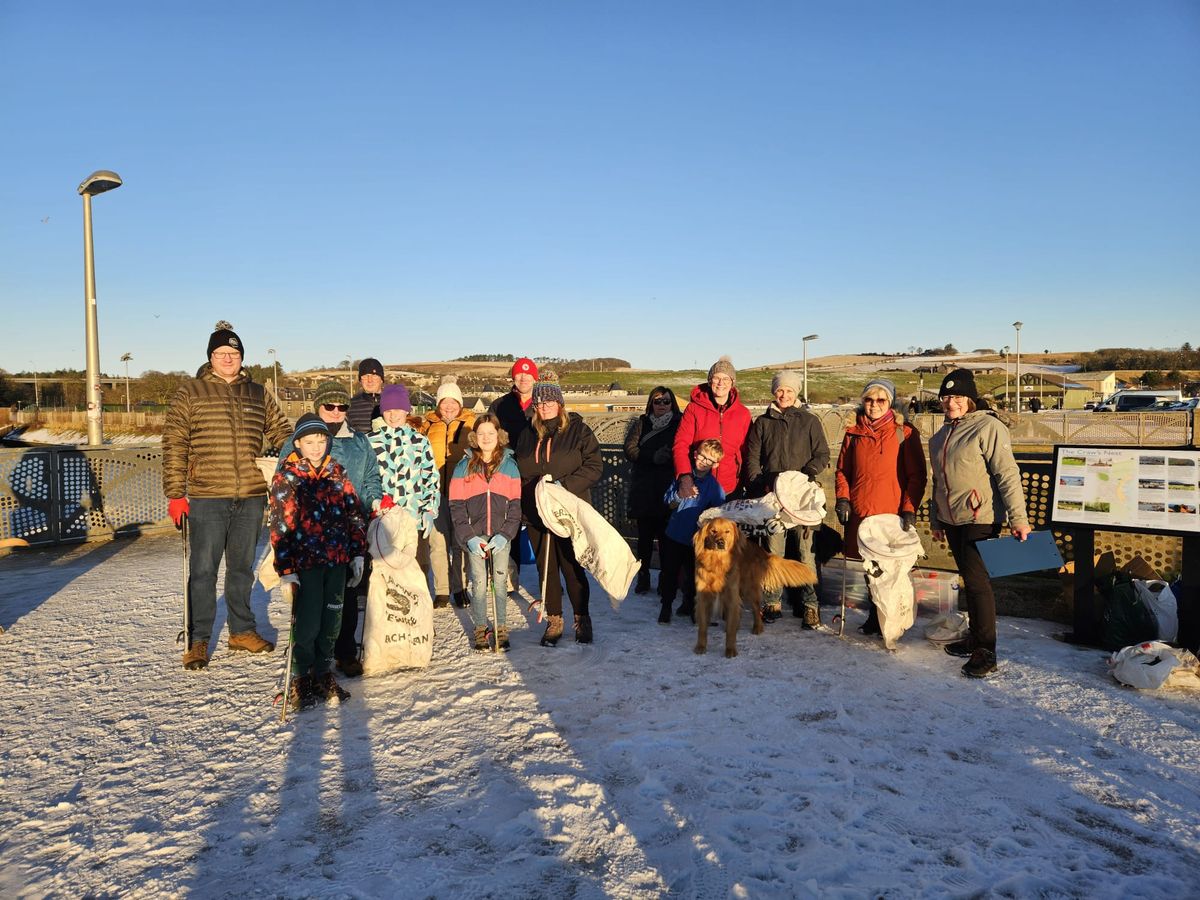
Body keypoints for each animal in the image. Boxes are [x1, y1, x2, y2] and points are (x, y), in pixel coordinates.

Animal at [691, 518, 820, 657]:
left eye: (727, 531)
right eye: (713, 531)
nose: (720, 543)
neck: (717, 563)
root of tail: (759, 549)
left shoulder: (731, 595)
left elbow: (731, 630)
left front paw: (730, 650)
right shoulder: (703, 597)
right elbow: (703, 627)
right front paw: (700, 647)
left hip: (750, 589)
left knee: (756, 610)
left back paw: (757, 627)